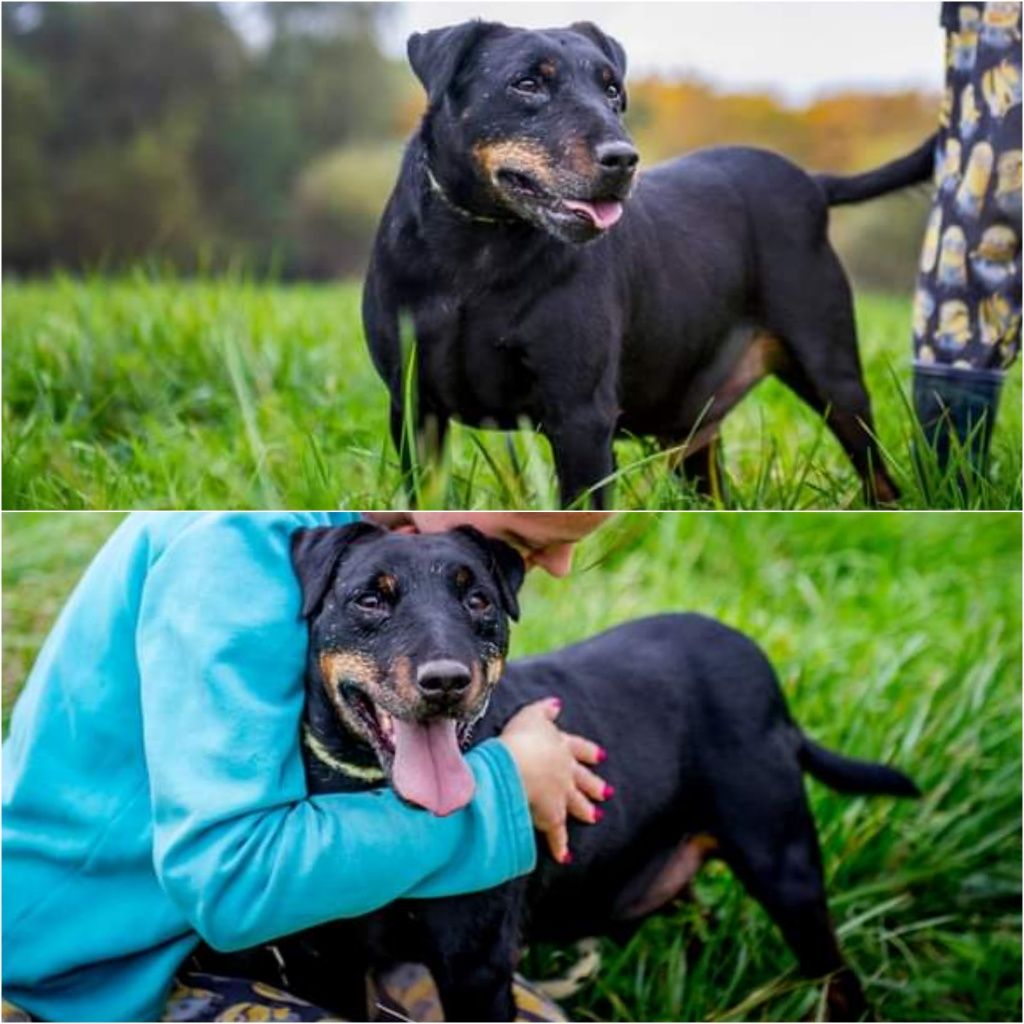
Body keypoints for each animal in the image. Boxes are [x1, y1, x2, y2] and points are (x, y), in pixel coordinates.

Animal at [199, 528, 921, 1024]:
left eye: (479, 600)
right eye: (370, 599)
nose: (447, 682)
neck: (378, 801)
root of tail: (769, 681)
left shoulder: (476, 968)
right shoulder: (329, 964)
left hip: (785, 866)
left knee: (838, 975)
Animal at [366, 19, 937, 507]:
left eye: (612, 91)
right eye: (526, 83)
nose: (622, 158)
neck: (477, 251)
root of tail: (814, 184)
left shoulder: (580, 416)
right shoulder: (413, 407)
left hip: (831, 371)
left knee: (876, 472)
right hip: (692, 427)